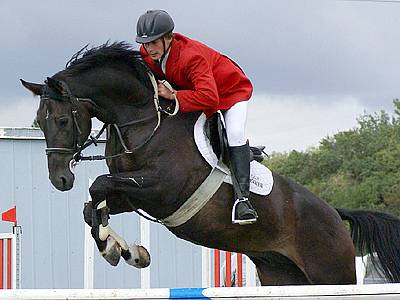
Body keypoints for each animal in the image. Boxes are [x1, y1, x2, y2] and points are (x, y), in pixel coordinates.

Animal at [20, 42, 400, 284]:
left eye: (63, 121)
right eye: (39, 122)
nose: (59, 179)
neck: (143, 119)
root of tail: (336, 214)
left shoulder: (162, 189)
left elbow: (98, 186)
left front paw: (120, 250)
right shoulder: (130, 194)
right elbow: (93, 205)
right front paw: (124, 251)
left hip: (331, 272)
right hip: (282, 275)